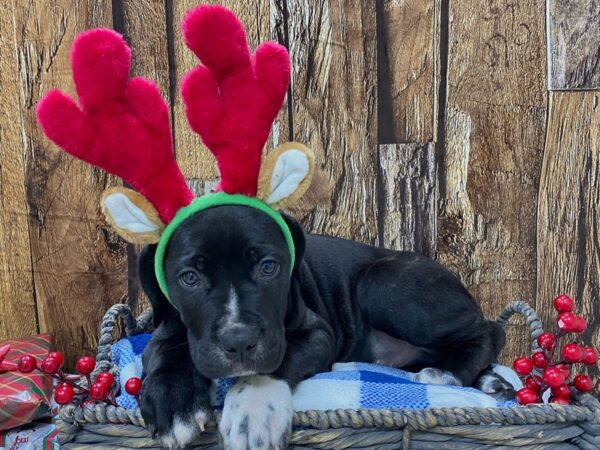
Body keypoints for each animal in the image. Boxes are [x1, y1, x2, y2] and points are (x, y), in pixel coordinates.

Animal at [141, 206, 510, 448]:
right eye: (189, 278)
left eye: (269, 267)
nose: (239, 340)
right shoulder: (166, 330)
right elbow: (165, 353)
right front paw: (173, 404)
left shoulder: (318, 335)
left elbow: (270, 369)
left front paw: (252, 412)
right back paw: (489, 379)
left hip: (381, 285)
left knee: (489, 331)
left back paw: (447, 375)